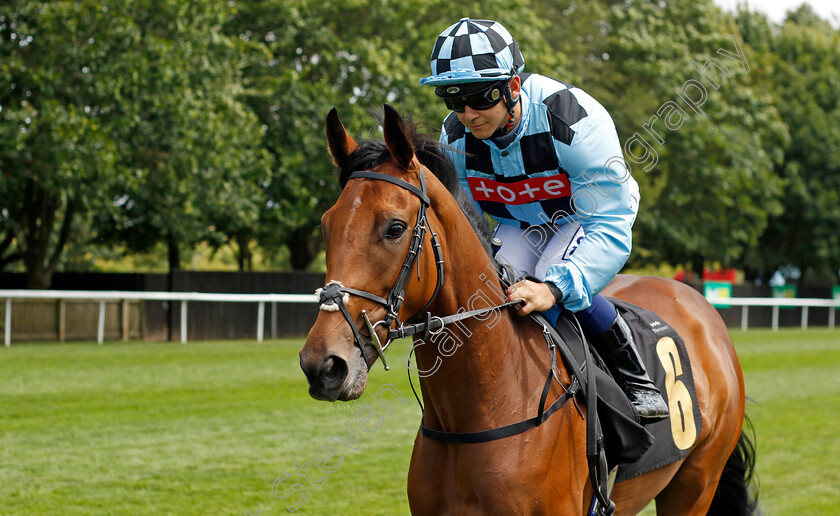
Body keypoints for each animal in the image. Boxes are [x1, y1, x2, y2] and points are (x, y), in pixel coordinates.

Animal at [300, 105, 756, 516]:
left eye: (394, 228)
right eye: (326, 225)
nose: (323, 364)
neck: (483, 409)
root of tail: (698, 303)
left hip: (696, 482)